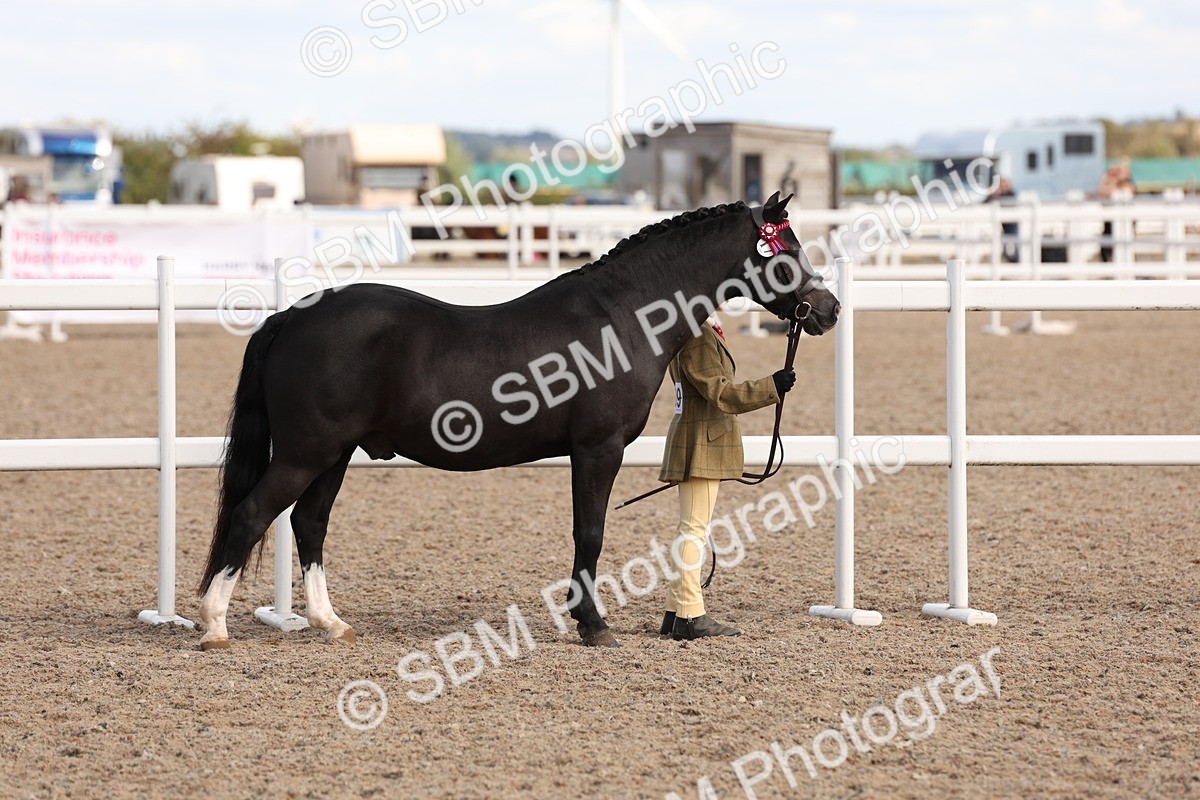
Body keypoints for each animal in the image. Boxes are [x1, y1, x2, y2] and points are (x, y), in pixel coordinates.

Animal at [196, 191, 840, 650]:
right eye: (786, 249)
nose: (828, 310)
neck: (623, 316)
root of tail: (292, 316)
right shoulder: (598, 448)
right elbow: (590, 532)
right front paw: (592, 624)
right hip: (305, 453)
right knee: (253, 514)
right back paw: (215, 626)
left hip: (334, 455)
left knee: (309, 524)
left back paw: (330, 623)